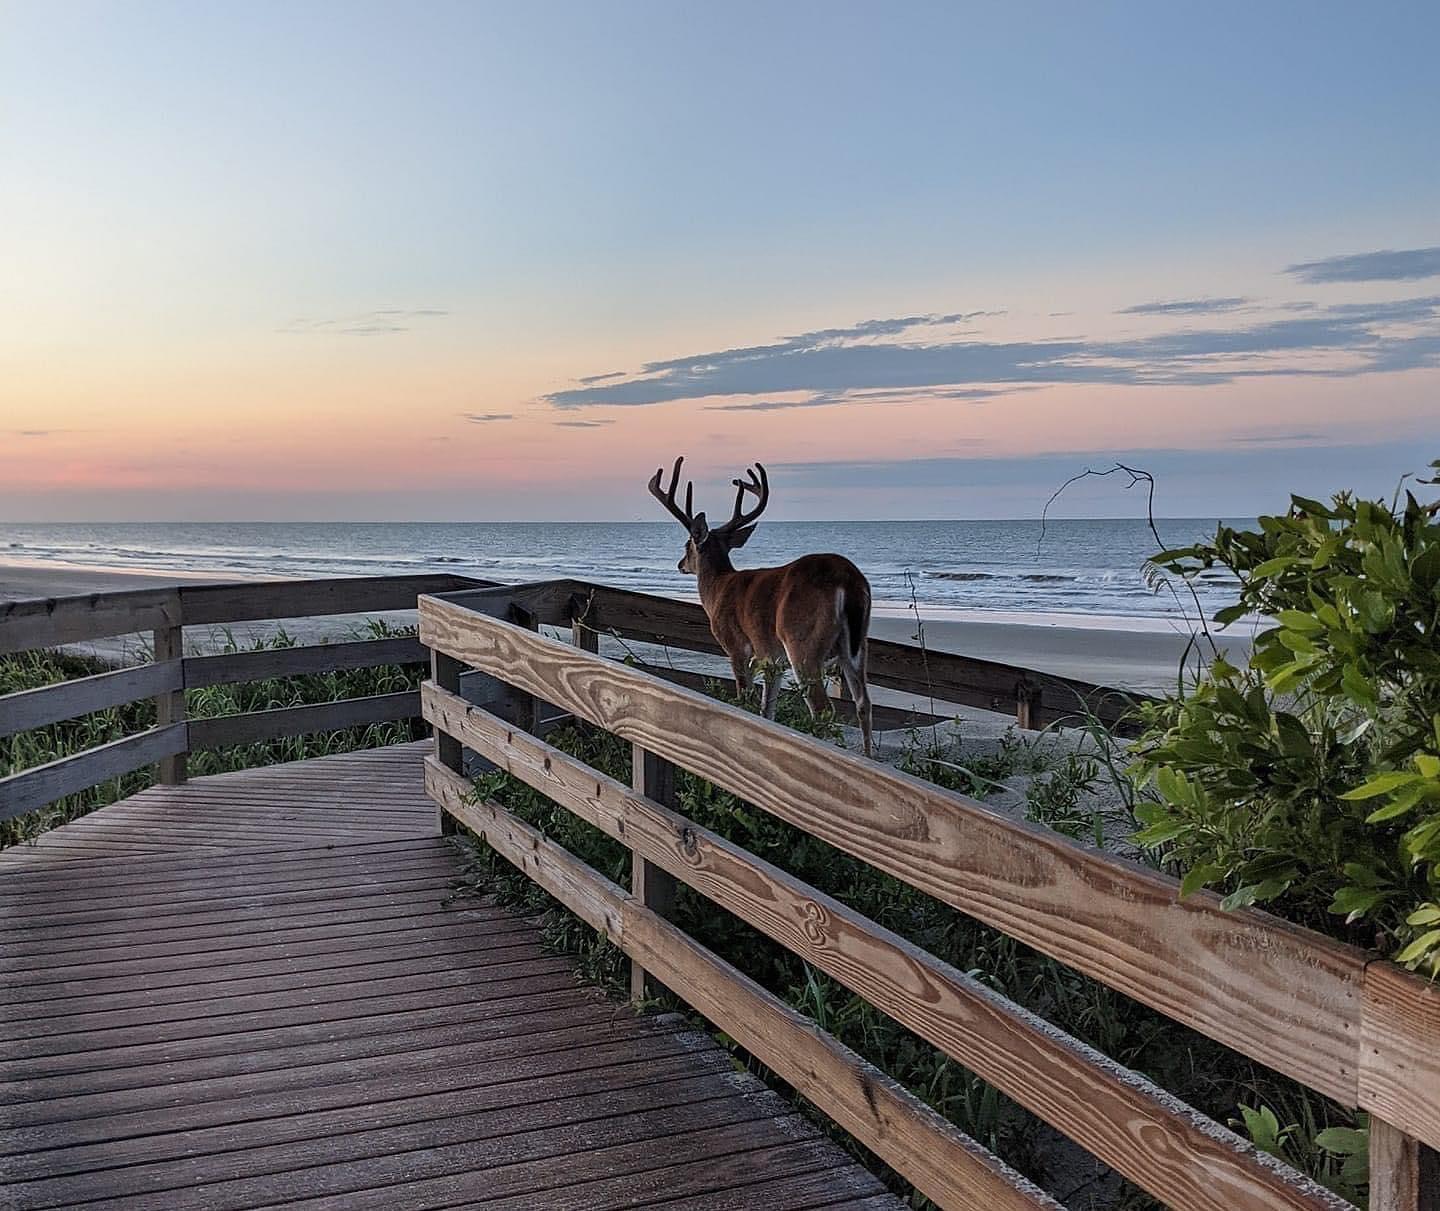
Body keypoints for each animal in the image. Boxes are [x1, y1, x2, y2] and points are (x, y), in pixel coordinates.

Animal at [647, 456, 874, 757]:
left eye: (687, 545)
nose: (680, 564)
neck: (717, 588)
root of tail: (848, 580)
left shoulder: (737, 647)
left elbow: (745, 699)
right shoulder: (772, 659)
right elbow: (768, 709)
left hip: (802, 641)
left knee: (823, 710)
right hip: (856, 647)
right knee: (863, 704)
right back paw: (869, 757)